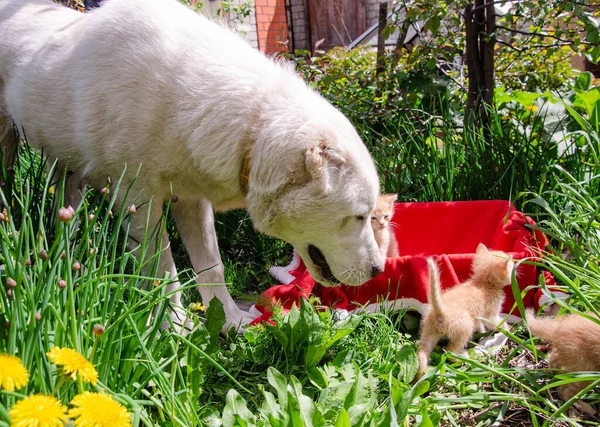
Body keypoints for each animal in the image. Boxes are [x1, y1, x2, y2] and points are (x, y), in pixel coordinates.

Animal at [0, 0, 384, 332]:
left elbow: (212, 268)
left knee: (64, 212)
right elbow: (164, 269)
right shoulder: (139, 203)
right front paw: (177, 327)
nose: (378, 270)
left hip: (65, 169)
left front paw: (229, 320)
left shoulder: (192, 201)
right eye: (358, 216)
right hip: (9, 147)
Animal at [418, 246, 516, 376]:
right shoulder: (490, 315)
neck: (482, 283)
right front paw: (508, 329)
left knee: (422, 353)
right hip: (464, 328)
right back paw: (464, 357)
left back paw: (418, 376)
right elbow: (497, 323)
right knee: (449, 351)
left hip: (429, 332)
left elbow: (481, 325)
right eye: (511, 267)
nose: (516, 270)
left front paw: (483, 333)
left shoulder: (479, 317)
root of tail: (440, 310)